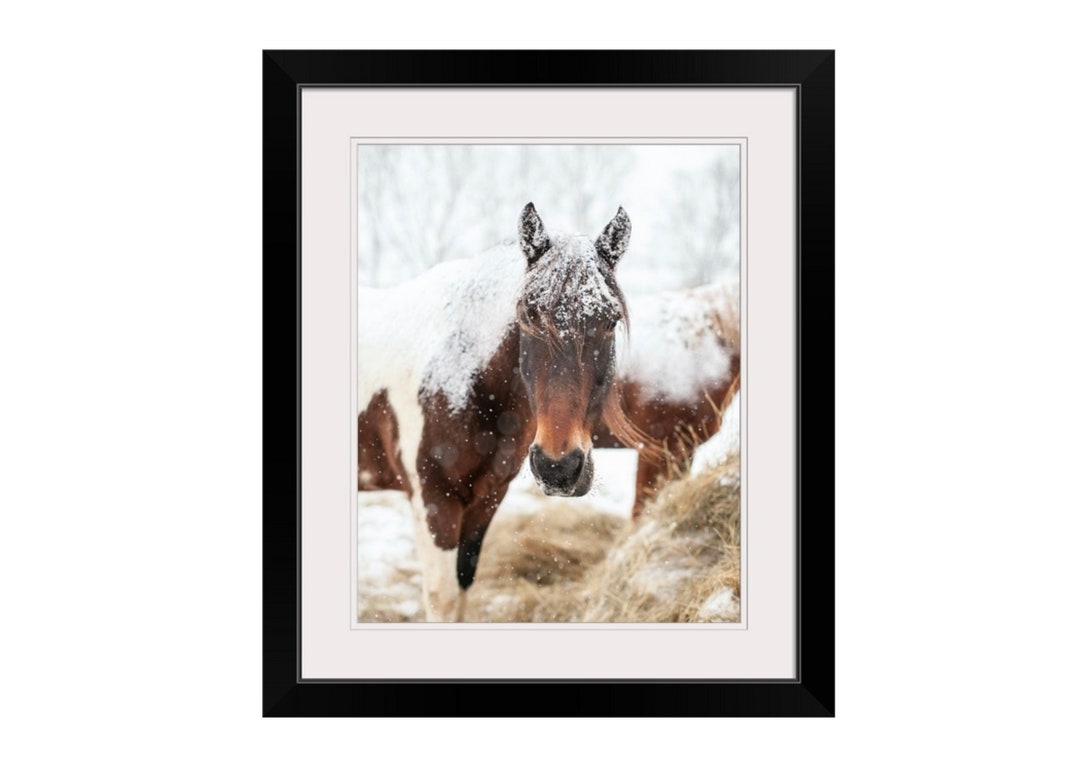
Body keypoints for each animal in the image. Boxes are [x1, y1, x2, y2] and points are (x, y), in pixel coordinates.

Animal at [357, 203, 646, 621]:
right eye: (528, 315)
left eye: (609, 320)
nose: (558, 467)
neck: (458, 367)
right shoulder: (433, 501)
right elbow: (443, 599)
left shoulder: (486, 499)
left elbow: (464, 583)